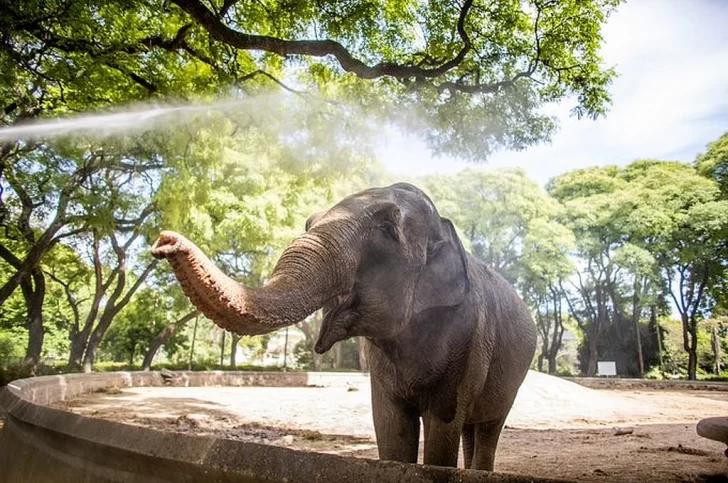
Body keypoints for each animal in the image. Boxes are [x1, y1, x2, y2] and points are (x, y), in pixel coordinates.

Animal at [152, 183, 536, 470]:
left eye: (386, 229)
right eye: (309, 223)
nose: (164, 240)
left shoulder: (467, 337)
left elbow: (442, 426)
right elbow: (390, 426)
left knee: (487, 429)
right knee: (473, 429)